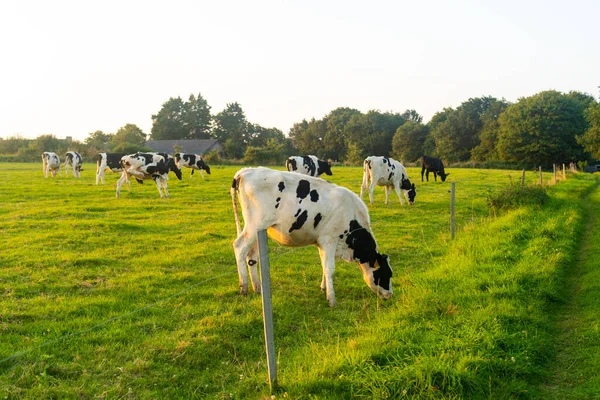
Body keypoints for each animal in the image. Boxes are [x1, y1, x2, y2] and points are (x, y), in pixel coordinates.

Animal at [231, 166, 394, 306]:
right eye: (386, 274)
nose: (390, 295)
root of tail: (245, 171)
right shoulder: (329, 240)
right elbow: (330, 269)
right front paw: (331, 299)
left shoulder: (321, 242)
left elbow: (323, 265)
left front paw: (323, 288)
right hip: (254, 225)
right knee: (239, 247)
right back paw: (244, 287)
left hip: (258, 231)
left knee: (252, 256)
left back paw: (258, 287)